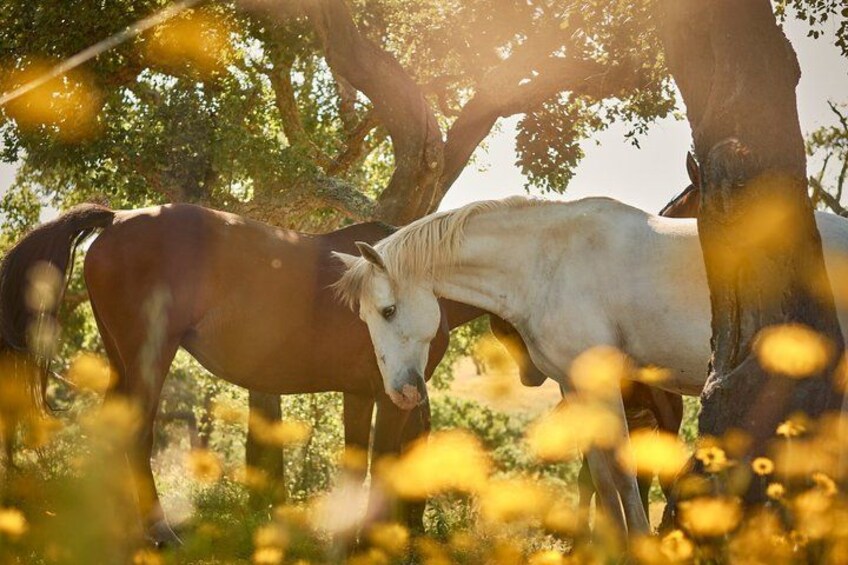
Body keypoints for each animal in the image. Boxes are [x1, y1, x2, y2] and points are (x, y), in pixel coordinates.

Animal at [333, 195, 848, 536]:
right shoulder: (574, 386)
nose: (400, 392)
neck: (550, 261)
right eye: (365, 317)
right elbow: (600, 475)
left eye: (388, 311)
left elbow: (621, 470)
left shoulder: (604, 384)